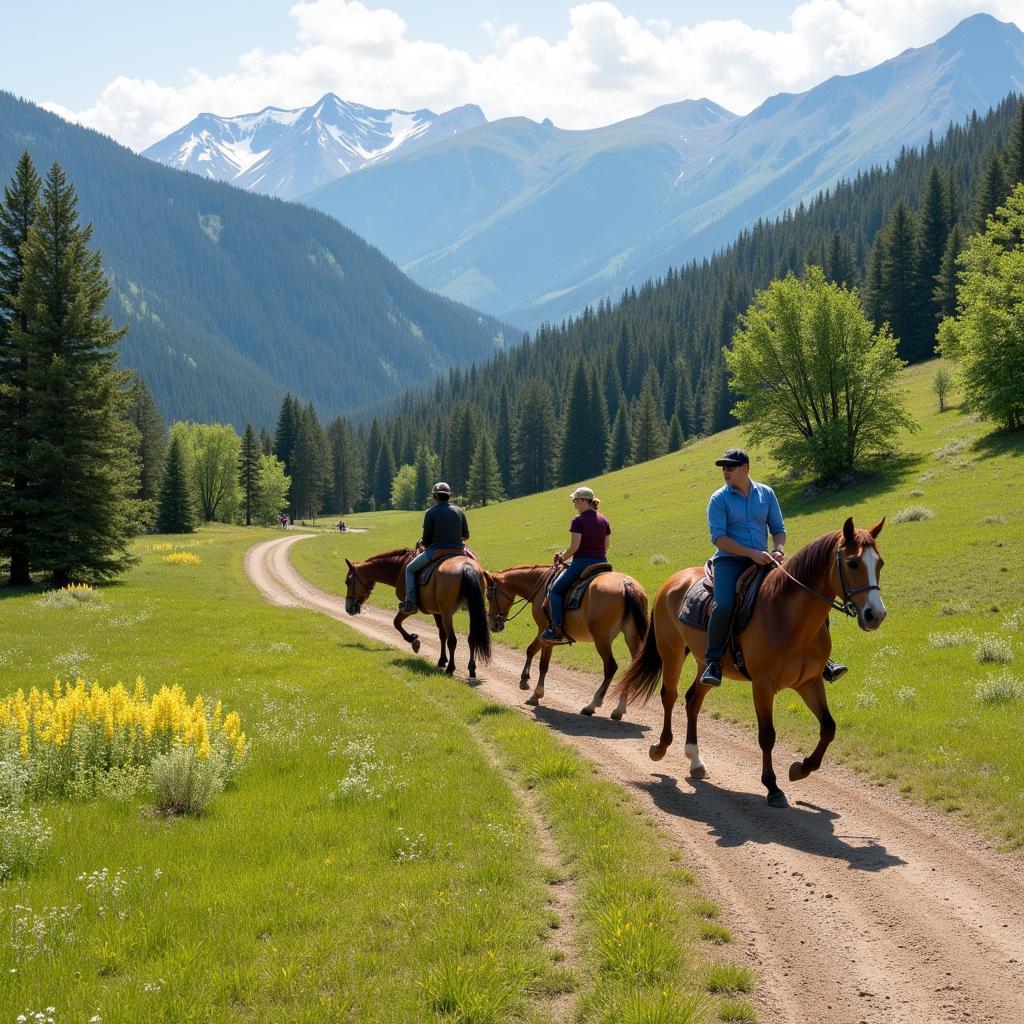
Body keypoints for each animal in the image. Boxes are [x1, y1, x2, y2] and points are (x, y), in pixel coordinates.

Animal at [342, 548, 489, 684]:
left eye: (347, 581)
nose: (348, 608)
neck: (400, 567)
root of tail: (466, 566)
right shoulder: (437, 611)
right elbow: (442, 635)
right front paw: (442, 660)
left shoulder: (411, 609)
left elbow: (396, 623)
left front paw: (413, 640)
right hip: (470, 611)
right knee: (471, 638)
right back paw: (471, 669)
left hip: (447, 613)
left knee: (453, 640)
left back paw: (451, 669)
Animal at [485, 565, 647, 716]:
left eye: (489, 596)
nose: (493, 625)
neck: (540, 585)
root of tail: (626, 584)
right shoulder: (547, 636)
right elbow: (533, 653)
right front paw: (527, 682)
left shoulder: (544, 632)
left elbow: (541, 662)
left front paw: (533, 691)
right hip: (631, 637)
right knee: (632, 670)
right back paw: (619, 709)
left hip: (602, 640)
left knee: (611, 667)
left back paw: (592, 705)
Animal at [610, 520, 884, 806]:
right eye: (852, 563)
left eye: (880, 563)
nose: (875, 615)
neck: (788, 617)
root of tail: (673, 580)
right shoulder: (763, 685)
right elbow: (767, 735)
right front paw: (772, 786)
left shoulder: (809, 682)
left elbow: (829, 727)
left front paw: (801, 768)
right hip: (672, 652)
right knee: (669, 696)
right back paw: (660, 747)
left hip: (705, 664)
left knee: (693, 699)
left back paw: (695, 761)